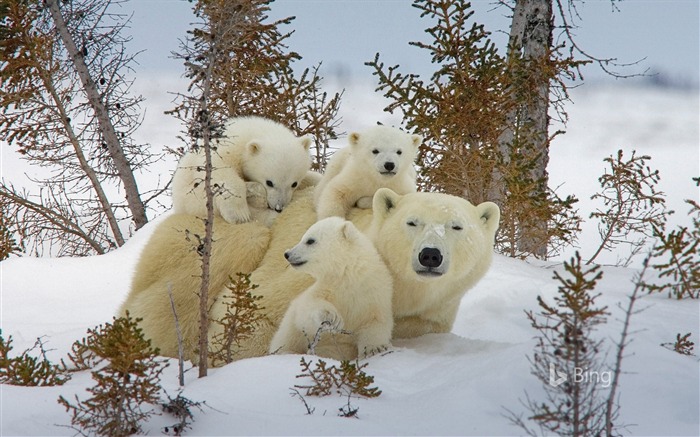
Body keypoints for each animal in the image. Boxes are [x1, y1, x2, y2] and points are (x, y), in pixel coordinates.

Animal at [123, 187, 500, 362]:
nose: (430, 255)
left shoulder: (430, 315)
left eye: (456, 226)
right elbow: (261, 309)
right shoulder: (310, 271)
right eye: (412, 222)